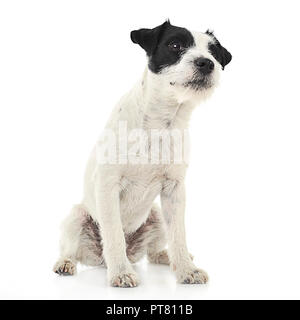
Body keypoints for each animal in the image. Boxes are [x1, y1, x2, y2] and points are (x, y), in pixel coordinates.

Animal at [53, 20, 232, 288]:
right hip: (77, 217)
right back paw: (67, 263)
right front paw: (120, 273)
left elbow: (178, 235)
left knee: (155, 252)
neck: (161, 123)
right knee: (71, 250)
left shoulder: (174, 191)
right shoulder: (108, 186)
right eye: (175, 45)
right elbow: (113, 233)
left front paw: (186, 270)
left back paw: (170, 258)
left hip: (156, 216)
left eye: (213, 52)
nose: (206, 63)